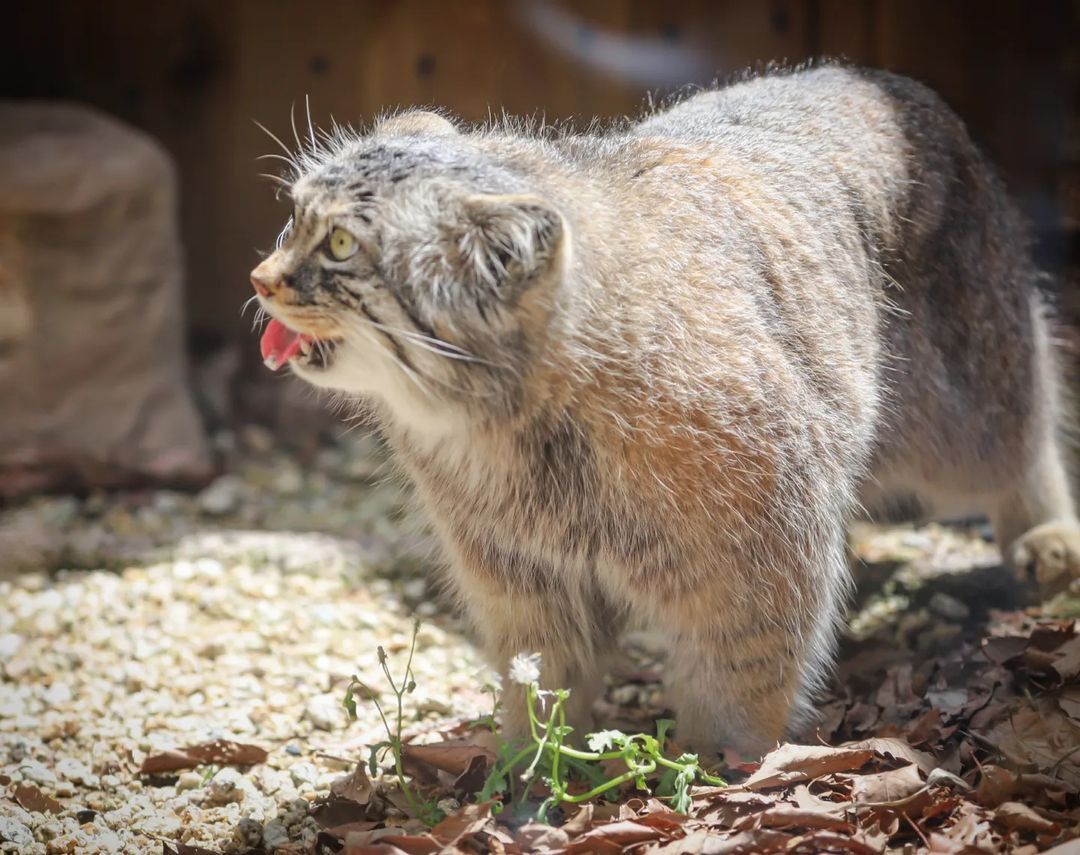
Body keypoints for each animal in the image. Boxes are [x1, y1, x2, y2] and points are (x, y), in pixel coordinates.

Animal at [247, 65, 1080, 755]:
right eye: (292, 218)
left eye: (342, 243)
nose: (259, 277)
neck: (513, 424)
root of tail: (897, 84)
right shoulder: (518, 569)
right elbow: (539, 674)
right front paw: (521, 767)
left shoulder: (759, 550)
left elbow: (743, 671)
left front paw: (720, 765)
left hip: (963, 415)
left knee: (1025, 431)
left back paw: (1046, 534)